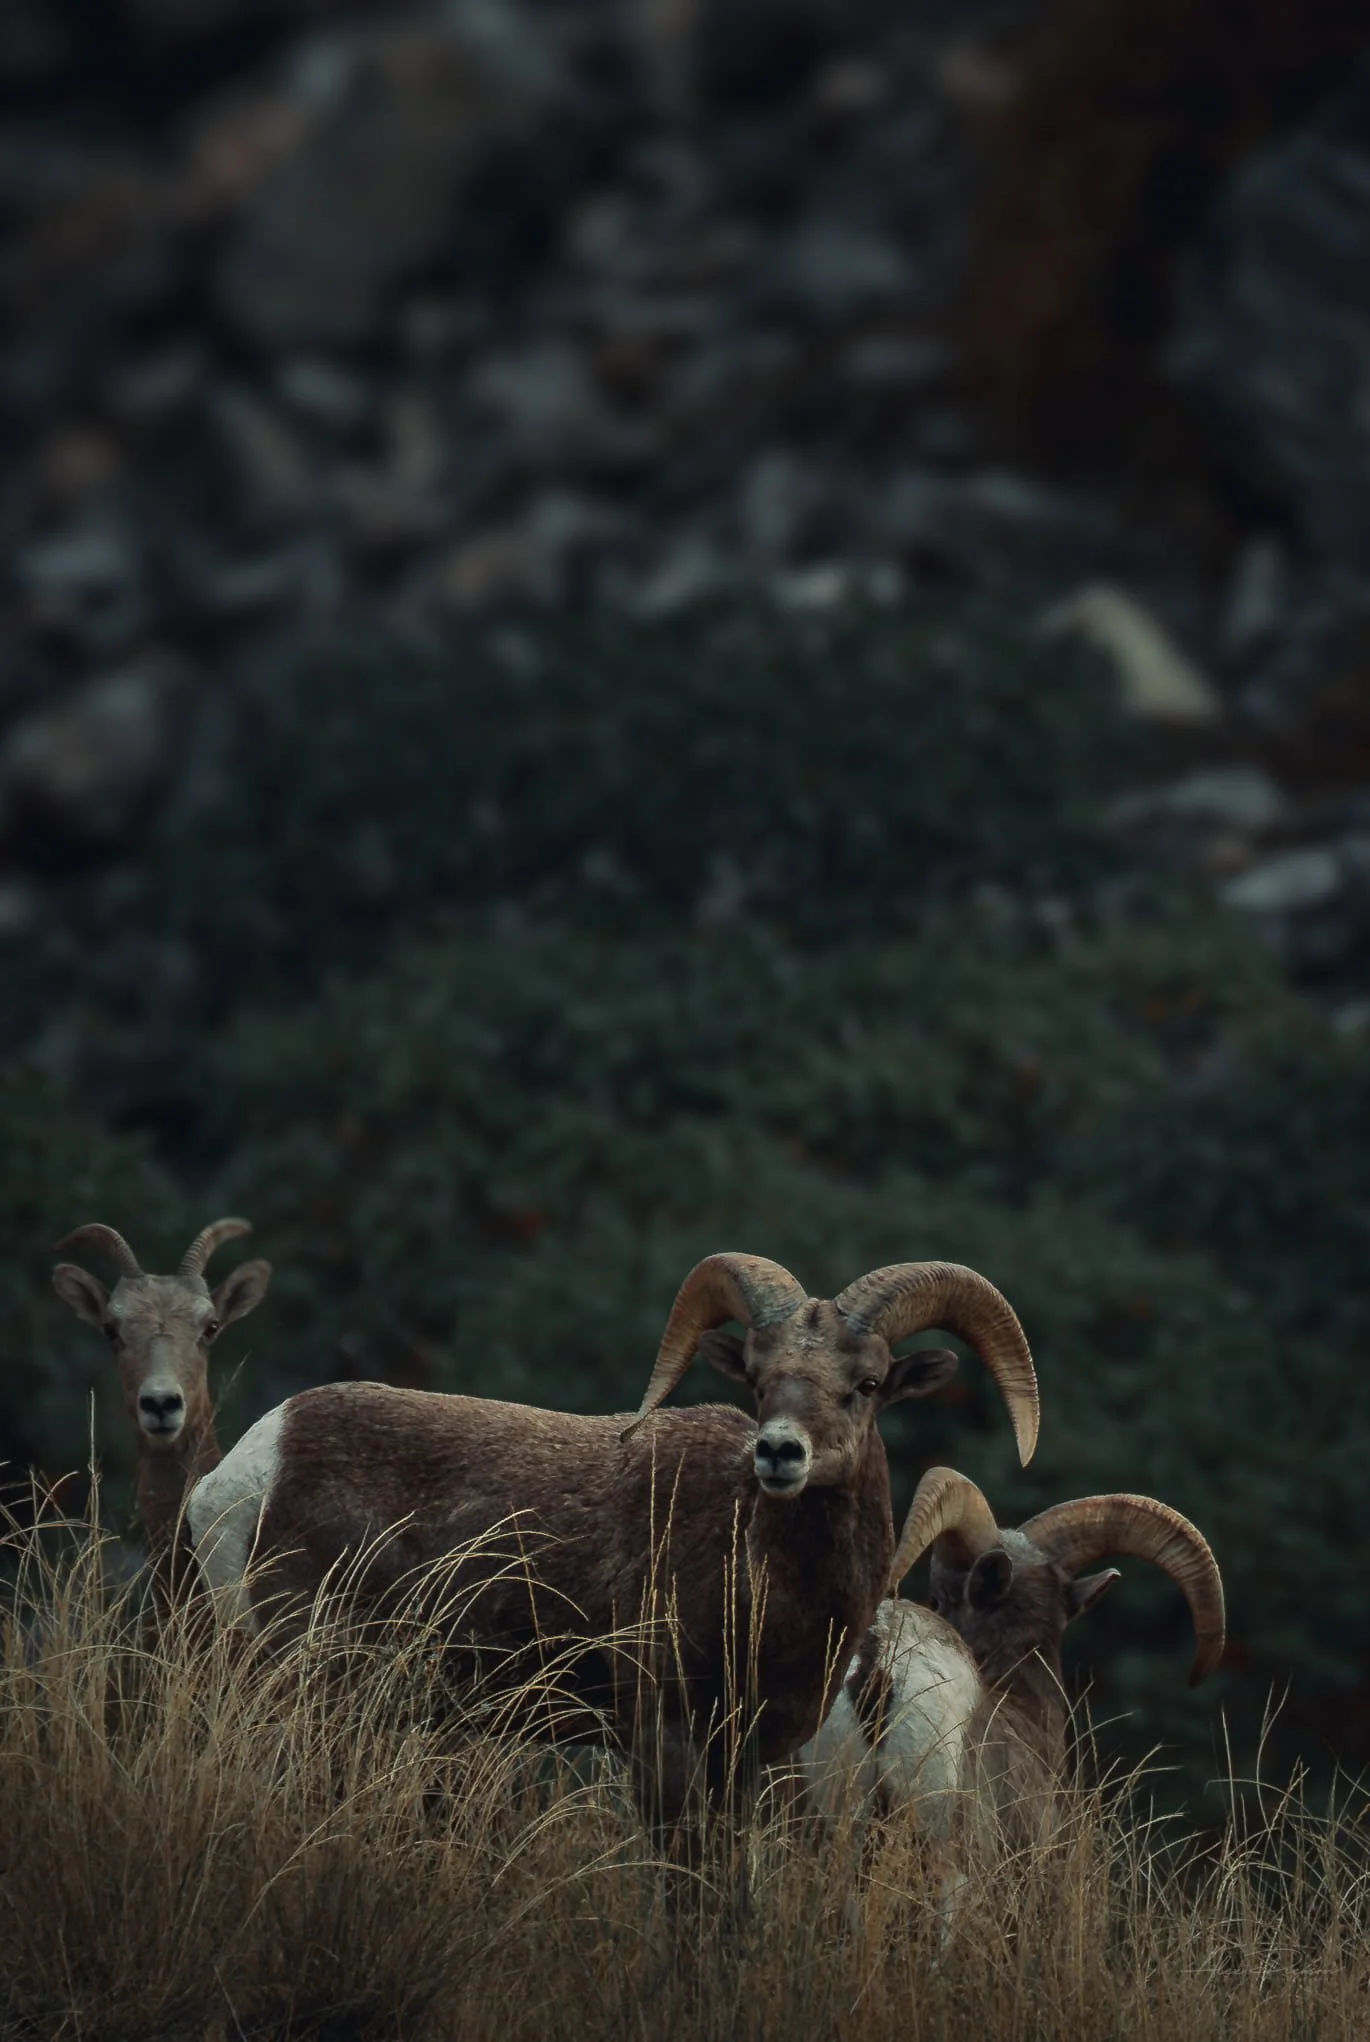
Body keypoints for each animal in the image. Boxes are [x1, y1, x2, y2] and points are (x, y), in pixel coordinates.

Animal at [186, 1253, 1038, 1850]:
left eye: (866, 1383)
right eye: (759, 1379)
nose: (779, 1453)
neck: (765, 1583)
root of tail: (245, 1471)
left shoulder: (742, 1762)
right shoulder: (664, 1742)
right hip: (305, 1684)